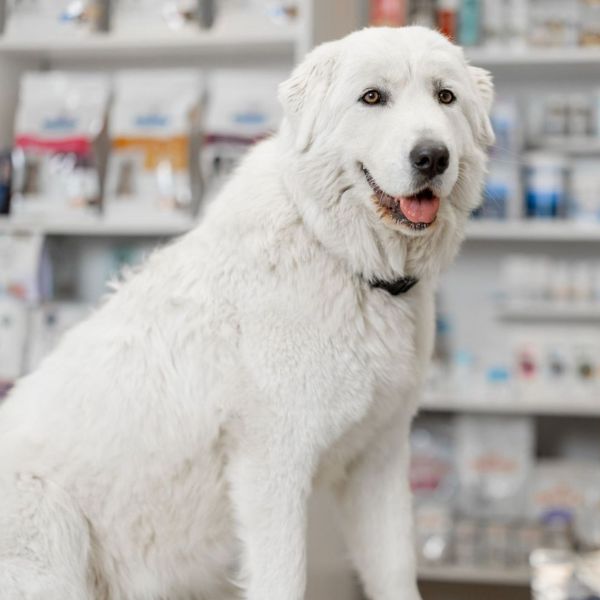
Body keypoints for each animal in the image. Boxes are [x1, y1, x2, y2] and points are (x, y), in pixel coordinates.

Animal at [0, 24, 492, 600]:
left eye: (445, 97)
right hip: (49, 522)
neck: (337, 254)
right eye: (373, 97)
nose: (432, 157)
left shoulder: (379, 461)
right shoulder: (273, 469)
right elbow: (285, 578)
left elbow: (395, 572)